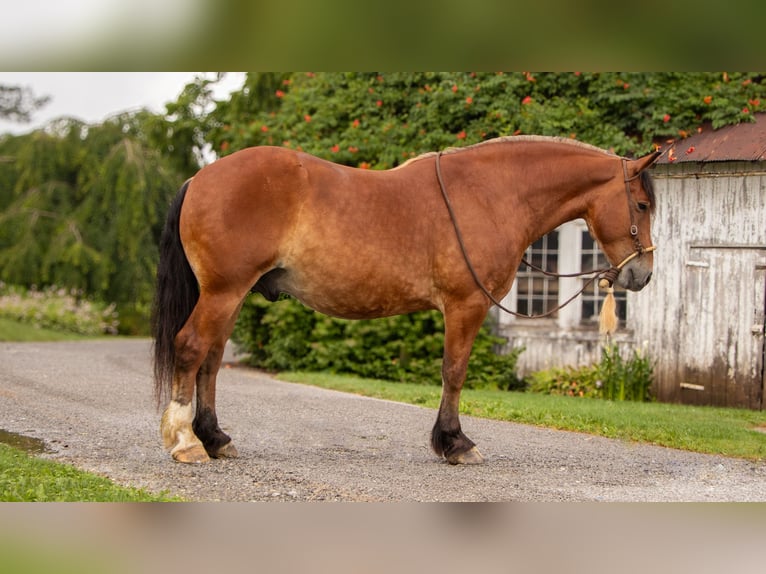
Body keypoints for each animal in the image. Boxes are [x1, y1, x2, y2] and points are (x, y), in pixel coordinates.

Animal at [152, 136, 660, 468]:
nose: (643, 273)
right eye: (641, 205)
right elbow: (454, 372)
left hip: (230, 296)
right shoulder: (465, 306)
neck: (491, 194)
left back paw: (216, 438)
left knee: (211, 361)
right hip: (223, 292)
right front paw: (455, 444)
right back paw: (185, 442)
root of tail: (201, 177)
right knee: (192, 348)